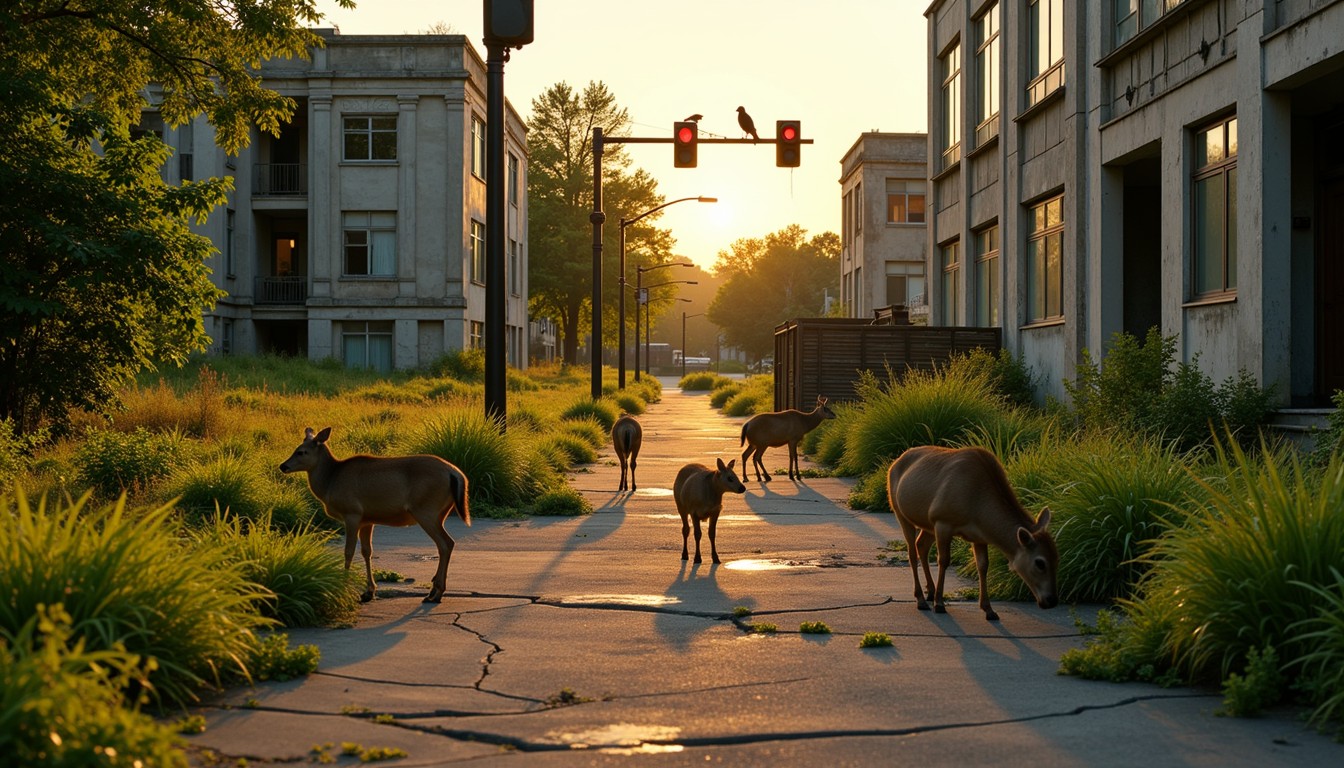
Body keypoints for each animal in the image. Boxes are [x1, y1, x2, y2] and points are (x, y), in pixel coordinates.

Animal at [279, 427, 470, 604]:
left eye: (301, 451)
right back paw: (433, 592)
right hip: (441, 512)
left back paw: (436, 593)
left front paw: (343, 587)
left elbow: (348, 551)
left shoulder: (352, 513)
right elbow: (367, 551)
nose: (283, 466)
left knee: (445, 543)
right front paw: (369, 592)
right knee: (446, 543)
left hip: (426, 510)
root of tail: (456, 474)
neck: (330, 482)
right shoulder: (367, 519)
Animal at [886, 445, 1058, 621]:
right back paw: (921, 598)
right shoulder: (942, 521)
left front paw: (988, 609)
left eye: (1057, 558)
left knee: (921, 545)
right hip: (899, 511)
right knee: (912, 552)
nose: (1052, 601)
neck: (978, 509)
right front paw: (939, 604)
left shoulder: (979, 536)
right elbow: (944, 560)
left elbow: (983, 566)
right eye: (1040, 562)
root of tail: (894, 464)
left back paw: (931, 592)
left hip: (928, 524)